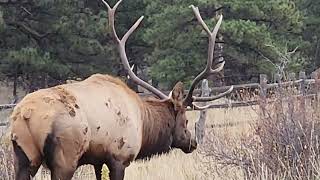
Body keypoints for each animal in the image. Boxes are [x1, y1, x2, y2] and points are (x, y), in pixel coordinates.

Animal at [9, 0, 232, 179]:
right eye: (185, 119)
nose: (192, 142)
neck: (143, 122)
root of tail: (26, 114)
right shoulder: (119, 156)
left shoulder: (98, 160)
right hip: (66, 155)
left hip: (23, 156)